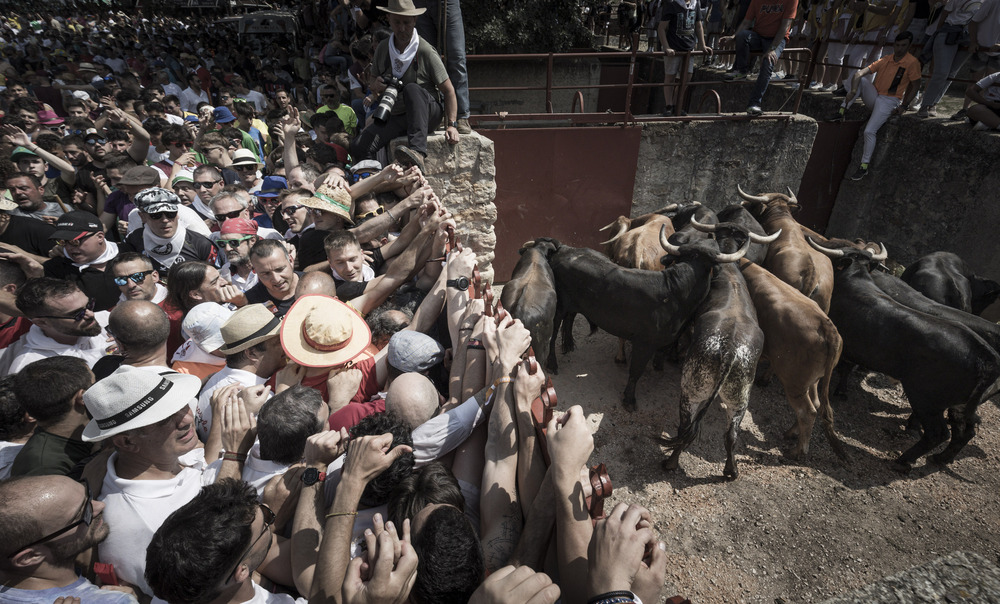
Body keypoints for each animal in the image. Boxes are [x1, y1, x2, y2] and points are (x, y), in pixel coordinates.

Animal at [740, 258, 848, 460]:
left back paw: (797, 451)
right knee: (816, 404)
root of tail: (828, 328)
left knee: (807, 412)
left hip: (794, 383)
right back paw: (791, 433)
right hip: (812, 381)